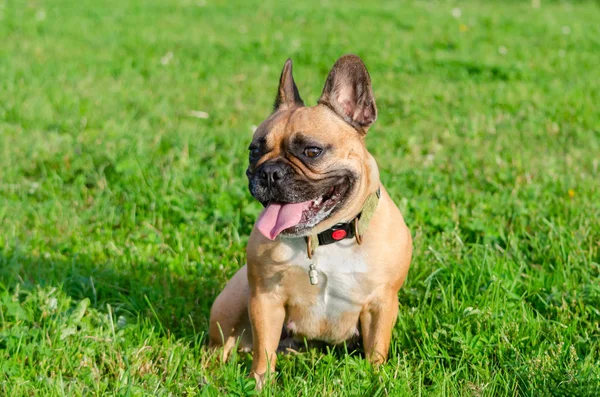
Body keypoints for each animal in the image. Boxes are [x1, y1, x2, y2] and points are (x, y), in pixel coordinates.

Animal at [210, 54, 412, 386]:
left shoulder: (381, 303)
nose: (270, 172)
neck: (325, 237)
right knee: (221, 344)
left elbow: (377, 349)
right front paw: (260, 382)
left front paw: (375, 379)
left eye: (312, 151)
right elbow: (264, 348)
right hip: (233, 299)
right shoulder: (265, 299)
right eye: (254, 151)